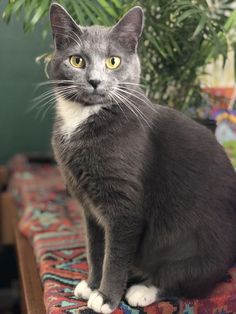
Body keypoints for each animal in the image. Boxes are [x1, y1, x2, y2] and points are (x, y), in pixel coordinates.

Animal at [48, 3, 236, 314]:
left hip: (196, 247)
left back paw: (143, 290)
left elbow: (115, 254)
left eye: (113, 61)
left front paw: (105, 297)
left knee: (186, 280)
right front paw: (92, 285)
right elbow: (95, 247)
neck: (85, 117)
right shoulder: (89, 207)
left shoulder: (125, 207)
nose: (95, 81)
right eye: (77, 60)